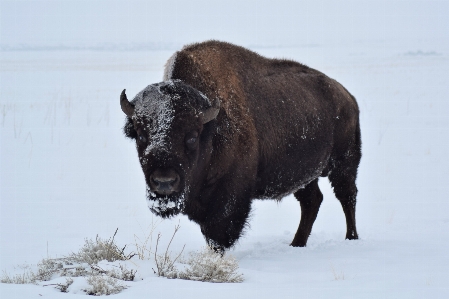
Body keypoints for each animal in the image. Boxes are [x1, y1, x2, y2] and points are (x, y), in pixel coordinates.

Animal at [120, 39, 360, 251]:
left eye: (192, 136)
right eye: (141, 135)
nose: (164, 182)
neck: (210, 126)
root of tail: (347, 97)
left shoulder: (230, 196)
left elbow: (218, 233)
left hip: (344, 164)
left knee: (347, 196)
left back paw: (351, 239)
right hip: (304, 174)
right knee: (312, 201)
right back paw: (296, 244)